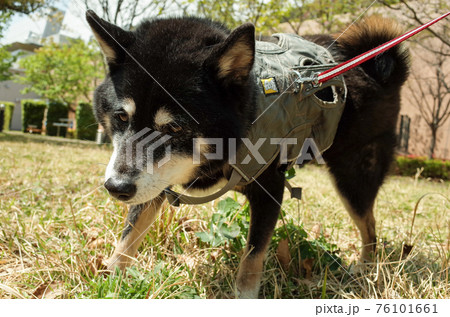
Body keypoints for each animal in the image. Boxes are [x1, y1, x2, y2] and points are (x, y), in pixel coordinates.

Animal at [86, 11, 410, 298]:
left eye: (175, 127)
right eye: (121, 117)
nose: (116, 188)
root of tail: (380, 72)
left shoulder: (270, 189)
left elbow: (253, 257)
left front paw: (244, 296)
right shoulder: (155, 182)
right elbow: (129, 236)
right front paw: (110, 281)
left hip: (354, 177)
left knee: (369, 227)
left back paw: (366, 268)